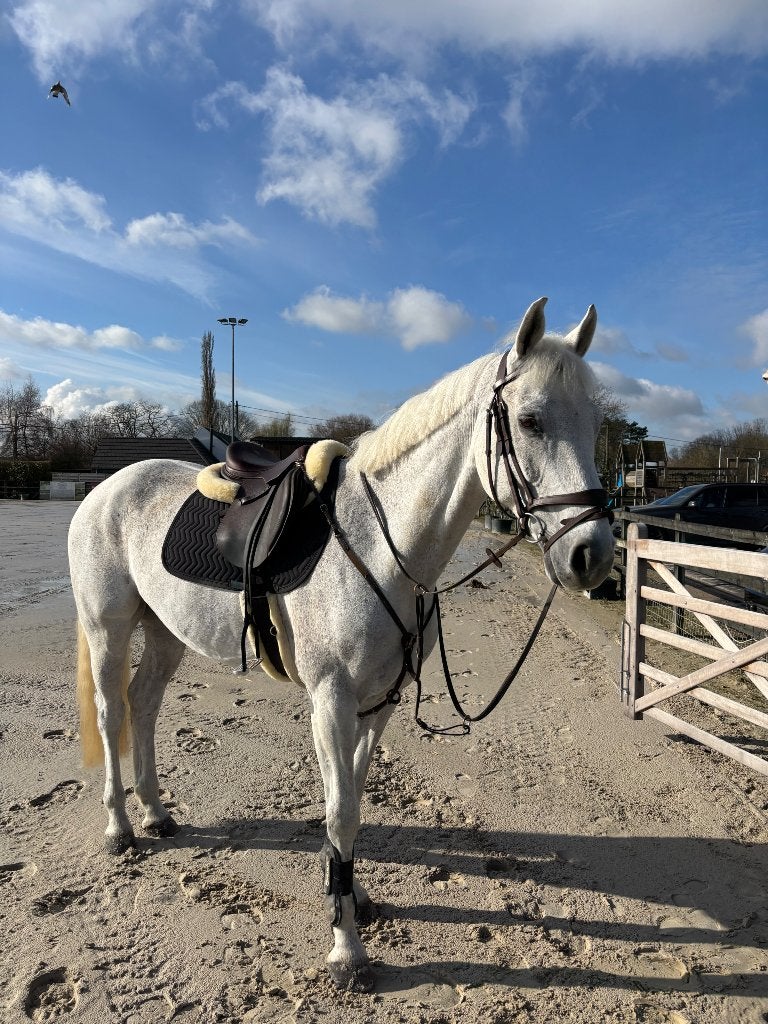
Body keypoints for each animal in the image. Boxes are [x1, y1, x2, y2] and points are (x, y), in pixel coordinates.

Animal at [68, 297, 615, 992]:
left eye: (594, 423)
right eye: (530, 420)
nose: (590, 556)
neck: (382, 543)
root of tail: (107, 489)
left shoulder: (377, 702)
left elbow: (351, 799)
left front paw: (352, 897)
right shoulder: (330, 700)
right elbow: (341, 812)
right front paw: (346, 951)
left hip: (166, 632)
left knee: (143, 705)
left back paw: (156, 813)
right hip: (107, 628)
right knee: (113, 713)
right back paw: (119, 827)